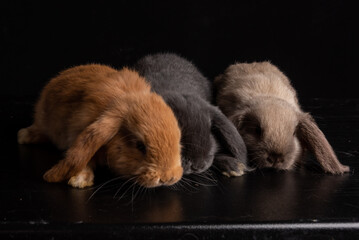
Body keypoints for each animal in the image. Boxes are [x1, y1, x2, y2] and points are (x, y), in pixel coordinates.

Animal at [16, 63, 183, 188]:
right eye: (140, 146)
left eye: (178, 140)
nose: (168, 177)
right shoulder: (77, 130)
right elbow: (83, 159)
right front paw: (80, 181)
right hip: (43, 121)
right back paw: (23, 136)